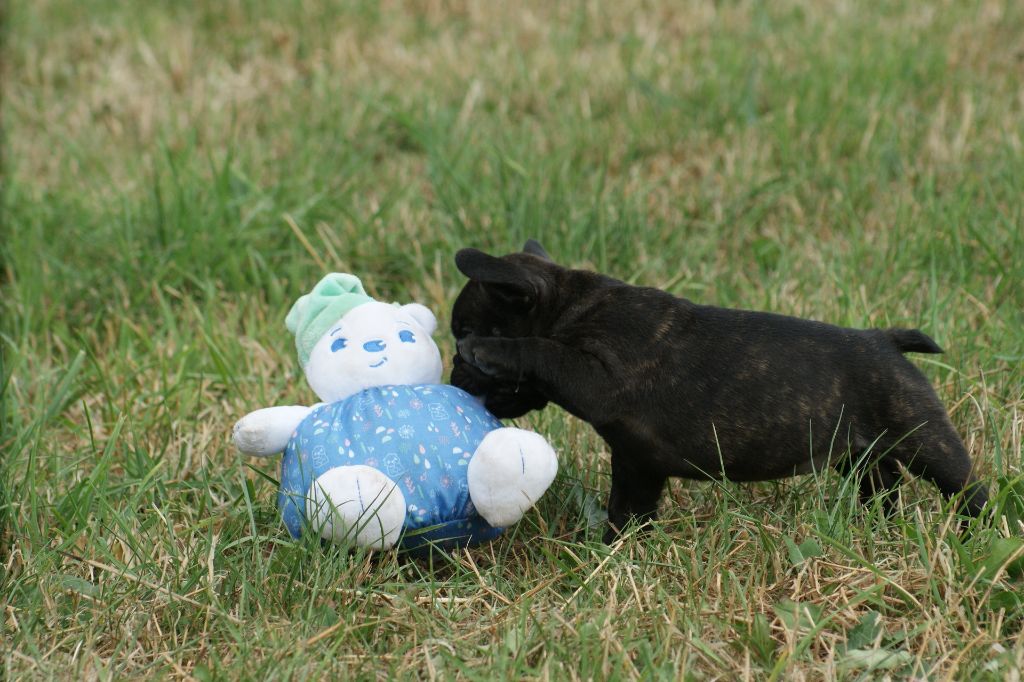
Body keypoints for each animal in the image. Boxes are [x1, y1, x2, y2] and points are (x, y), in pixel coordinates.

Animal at [450, 238, 991, 540]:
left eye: (462, 332)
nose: (454, 373)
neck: (570, 305)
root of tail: (884, 339)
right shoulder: (637, 465)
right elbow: (626, 512)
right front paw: (615, 551)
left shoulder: (601, 375)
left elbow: (545, 352)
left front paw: (493, 349)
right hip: (860, 454)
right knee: (883, 486)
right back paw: (878, 530)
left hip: (921, 434)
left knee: (964, 485)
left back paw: (978, 531)